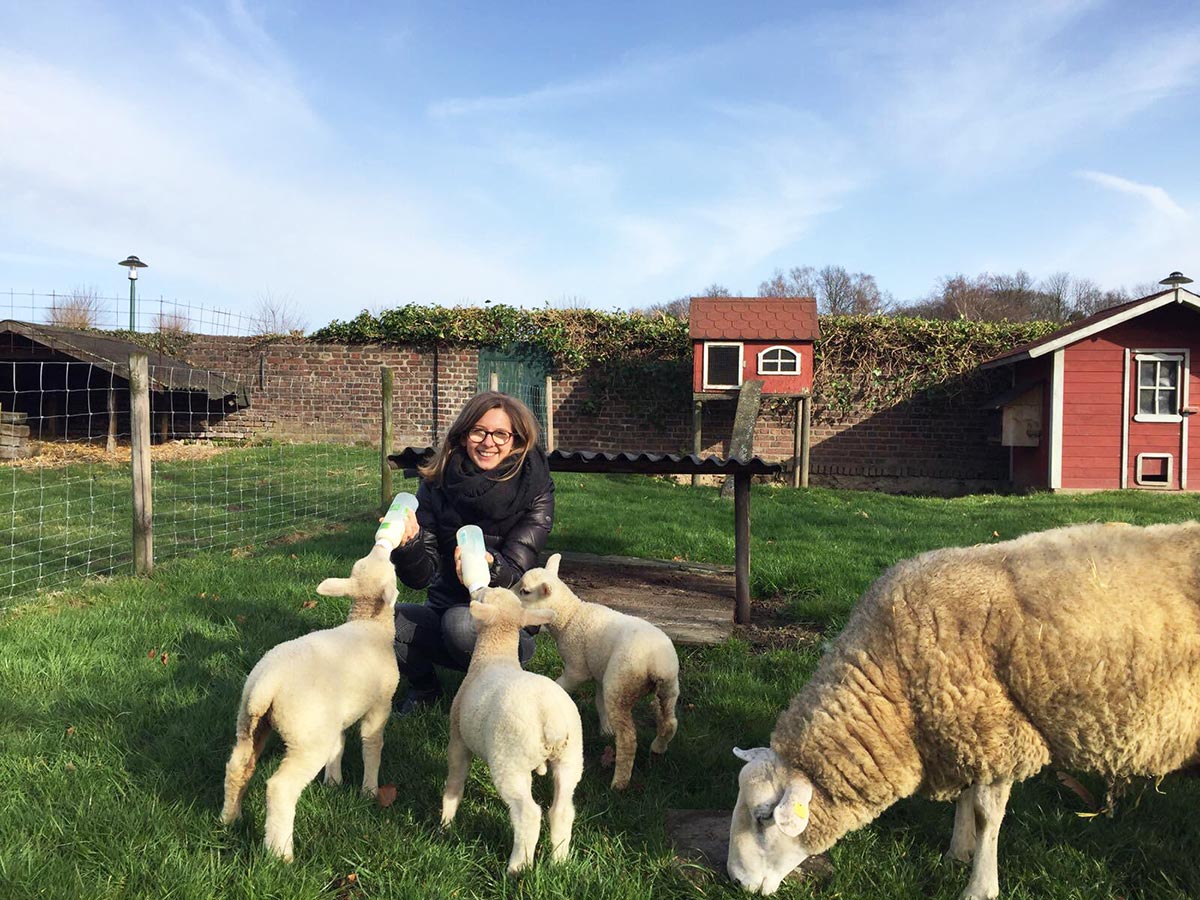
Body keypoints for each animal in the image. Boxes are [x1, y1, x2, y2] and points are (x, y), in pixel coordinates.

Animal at [218, 540, 400, 864]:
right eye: (390, 568)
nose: (382, 545)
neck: (370, 623)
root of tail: (266, 683)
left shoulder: (335, 717)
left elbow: (338, 746)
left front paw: (333, 782)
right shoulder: (380, 704)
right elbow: (371, 745)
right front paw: (369, 790)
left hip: (250, 723)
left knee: (237, 766)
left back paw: (230, 818)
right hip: (305, 738)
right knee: (280, 788)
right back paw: (281, 854)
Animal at [444, 585, 588, 873]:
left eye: (482, 597)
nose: (477, 588)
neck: (495, 654)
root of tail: (551, 719)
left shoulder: (458, 738)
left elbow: (455, 780)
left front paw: (446, 823)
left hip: (510, 760)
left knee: (528, 813)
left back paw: (517, 868)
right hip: (571, 758)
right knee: (562, 810)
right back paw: (559, 862)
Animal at [516, 554, 681, 792]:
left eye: (525, 591)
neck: (569, 616)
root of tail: (658, 664)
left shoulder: (577, 669)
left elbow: (560, 685)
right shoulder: (600, 675)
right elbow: (599, 702)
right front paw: (605, 730)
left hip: (621, 684)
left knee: (628, 739)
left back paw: (619, 782)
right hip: (664, 688)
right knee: (670, 722)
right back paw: (658, 747)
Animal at [724, 520, 1200, 900]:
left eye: (764, 817)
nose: (735, 882)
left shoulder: (996, 729)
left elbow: (988, 813)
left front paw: (979, 886)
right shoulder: (961, 725)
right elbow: (967, 798)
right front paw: (958, 853)